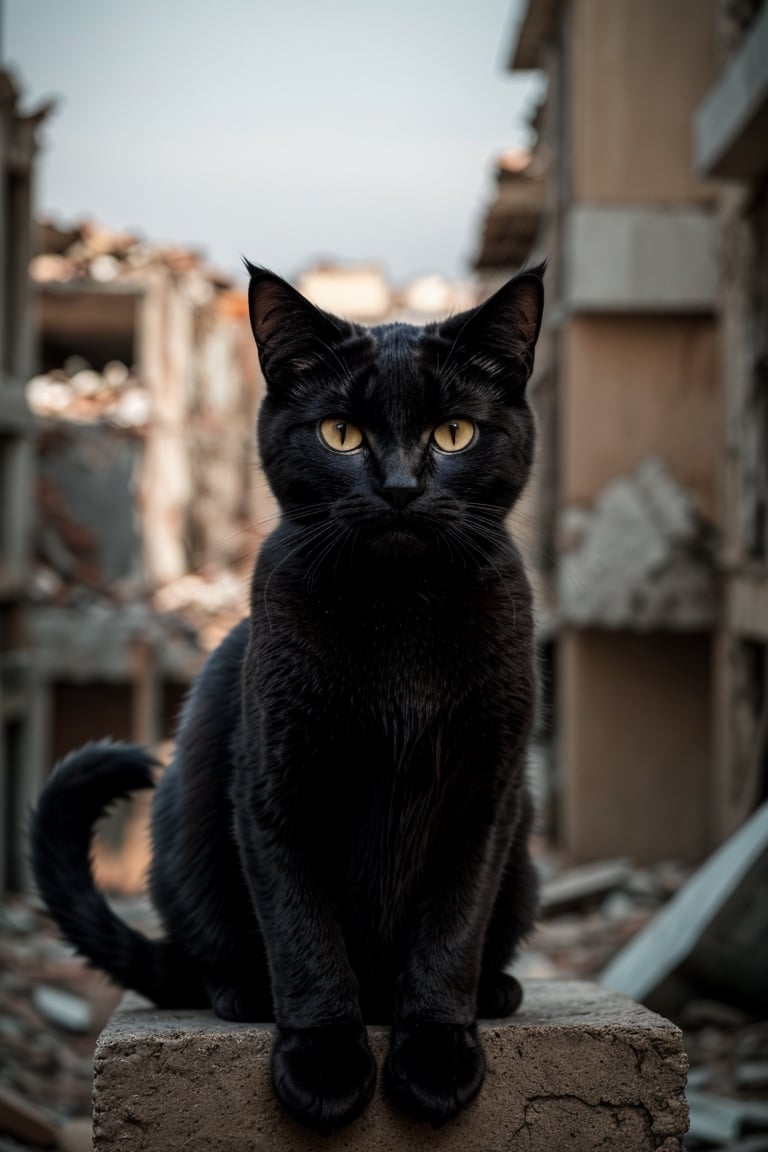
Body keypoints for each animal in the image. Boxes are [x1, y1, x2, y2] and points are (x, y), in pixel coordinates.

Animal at [31, 261, 545, 1133]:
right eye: (341, 434)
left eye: (453, 434)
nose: (400, 485)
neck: (400, 614)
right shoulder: (275, 788)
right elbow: (305, 937)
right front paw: (324, 1066)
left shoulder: (486, 796)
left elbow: (450, 929)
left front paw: (437, 1058)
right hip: (186, 844)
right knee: (208, 960)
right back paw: (243, 993)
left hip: (525, 865)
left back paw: (497, 991)